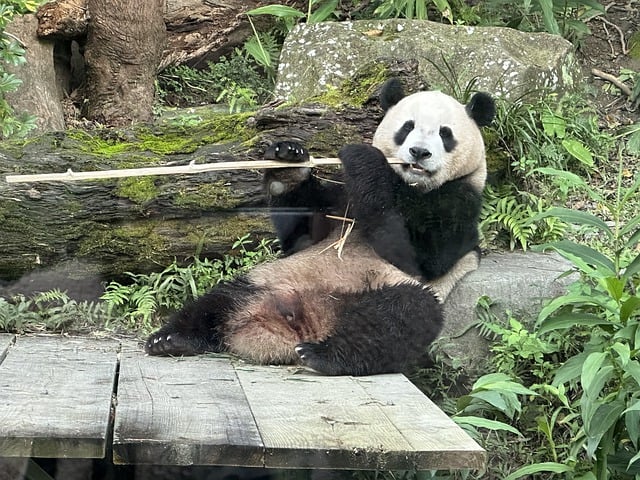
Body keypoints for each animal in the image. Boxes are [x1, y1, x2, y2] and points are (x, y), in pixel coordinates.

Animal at [145, 79, 496, 376]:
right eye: (406, 128)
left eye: (445, 134)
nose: (419, 153)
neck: (408, 184)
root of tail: (299, 326)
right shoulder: (341, 199)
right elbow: (300, 234)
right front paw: (288, 159)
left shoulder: (461, 200)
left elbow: (427, 255)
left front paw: (363, 157)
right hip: (269, 278)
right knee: (217, 301)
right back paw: (171, 339)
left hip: (382, 288)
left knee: (400, 319)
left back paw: (323, 355)